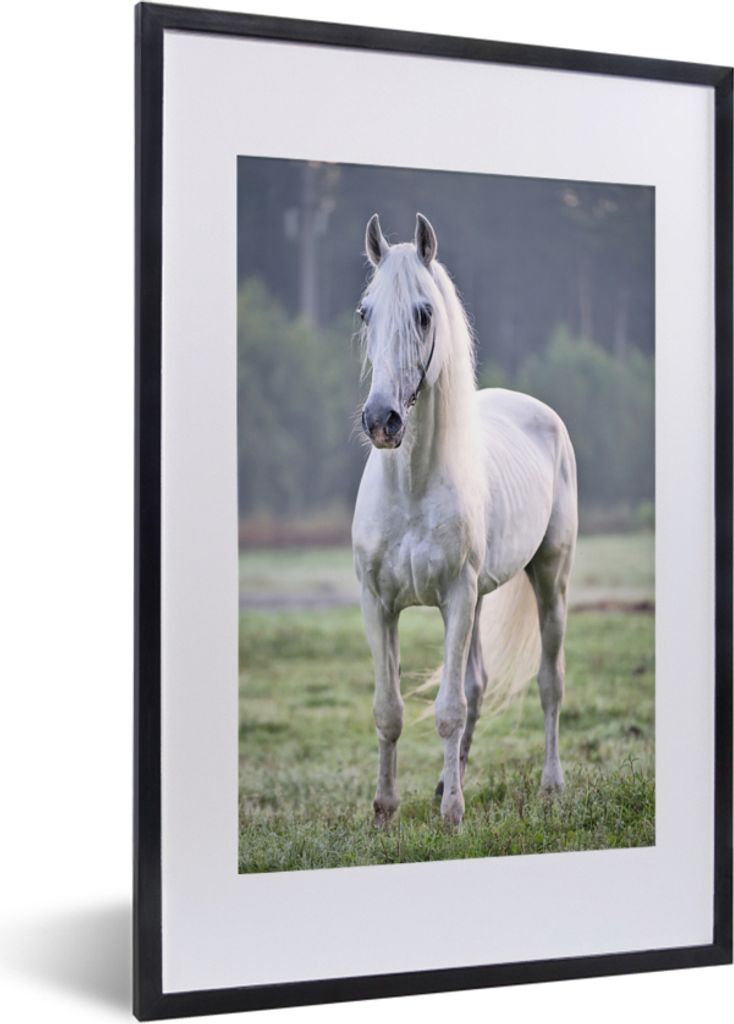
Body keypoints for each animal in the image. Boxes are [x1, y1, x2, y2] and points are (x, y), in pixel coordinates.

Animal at [351, 213, 578, 827]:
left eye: (424, 313)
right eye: (365, 312)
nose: (381, 421)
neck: (411, 489)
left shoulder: (455, 596)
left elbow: (447, 710)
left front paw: (452, 814)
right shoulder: (379, 604)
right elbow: (388, 709)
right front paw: (385, 810)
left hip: (548, 578)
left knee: (549, 683)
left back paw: (551, 785)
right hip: (478, 599)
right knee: (477, 684)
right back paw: (443, 782)